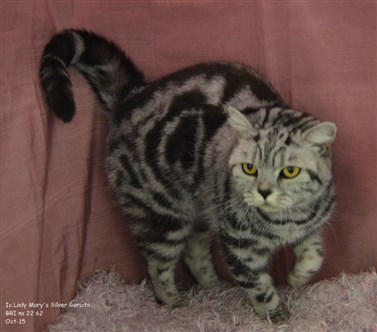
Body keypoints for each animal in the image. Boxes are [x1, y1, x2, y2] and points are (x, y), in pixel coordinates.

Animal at [40, 30, 334, 322]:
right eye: (249, 168)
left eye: (290, 171)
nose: (263, 192)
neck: (285, 221)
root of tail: (133, 94)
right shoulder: (240, 246)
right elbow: (259, 286)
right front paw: (276, 314)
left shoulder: (309, 227)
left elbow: (316, 254)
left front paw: (297, 277)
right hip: (164, 216)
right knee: (157, 264)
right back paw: (173, 302)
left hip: (201, 209)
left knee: (194, 252)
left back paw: (214, 287)